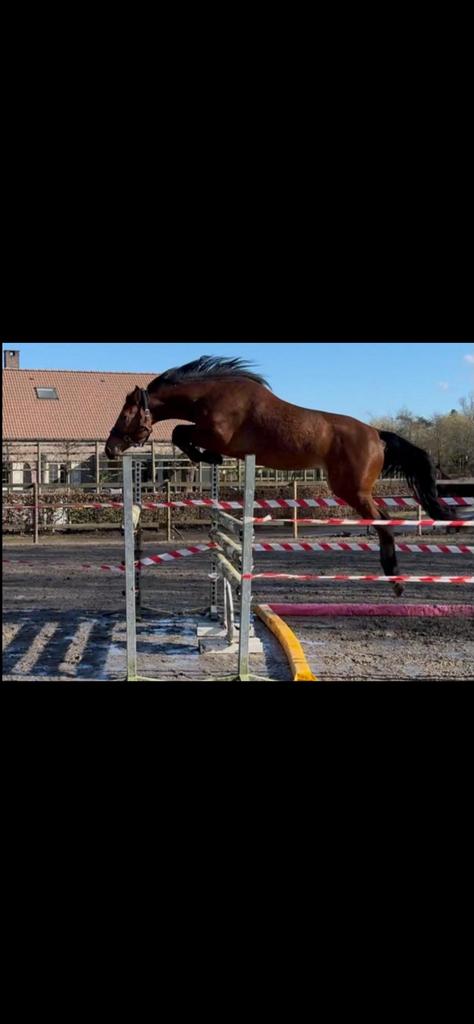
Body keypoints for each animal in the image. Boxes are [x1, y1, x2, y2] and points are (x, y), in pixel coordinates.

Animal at [105, 355, 454, 596]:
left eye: (125, 414)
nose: (110, 448)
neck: (210, 395)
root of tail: (377, 436)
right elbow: (181, 433)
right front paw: (207, 458)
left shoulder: (217, 435)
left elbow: (180, 431)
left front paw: (208, 457)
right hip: (353, 490)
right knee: (383, 520)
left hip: (352, 490)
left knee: (383, 522)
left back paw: (395, 579)